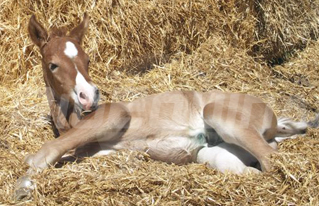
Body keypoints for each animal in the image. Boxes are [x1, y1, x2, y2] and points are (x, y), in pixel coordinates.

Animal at [15, 13, 319, 200]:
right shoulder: (96, 149)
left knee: (272, 160)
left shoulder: (115, 115)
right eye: (53, 65)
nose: (89, 96)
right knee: (256, 164)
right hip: (213, 154)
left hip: (219, 115)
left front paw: (23, 184)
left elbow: (44, 153)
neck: (74, 121)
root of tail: (274, 120)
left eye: (88, 60)